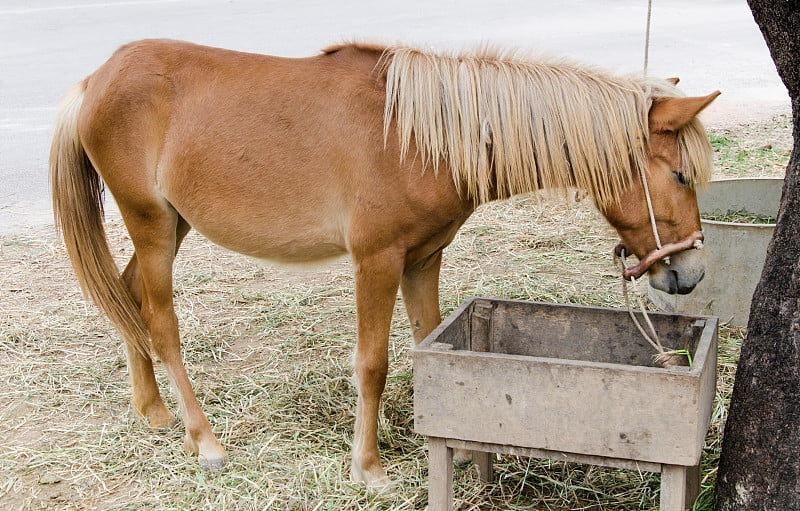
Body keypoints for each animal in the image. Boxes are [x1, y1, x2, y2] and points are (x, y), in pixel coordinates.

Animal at [53, 39, 720, 488]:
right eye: (680, 175)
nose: (690, 274)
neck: (421, 137)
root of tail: (96, 77)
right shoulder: (376, 261)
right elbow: (372, 364)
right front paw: (368, 467)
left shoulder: (423, 260)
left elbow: (430, 339)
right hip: (152, 225)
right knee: (160, 322)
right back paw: (205, 441)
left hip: (171, 224)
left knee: (127, 299)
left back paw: (152, 411)